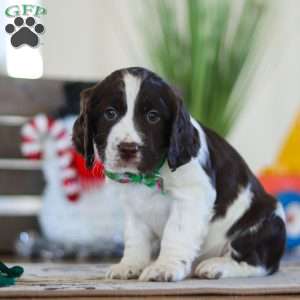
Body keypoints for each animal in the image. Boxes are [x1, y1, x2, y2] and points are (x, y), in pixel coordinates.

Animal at [72, 67, 286, 282]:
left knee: (259, 262)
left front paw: (163, 267)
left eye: (153, 116)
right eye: (110, 113)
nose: (128, 148)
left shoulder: (191, 196)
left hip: (266, 222)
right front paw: (130, 265)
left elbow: (176, 233)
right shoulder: (133, 207)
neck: (147, 176)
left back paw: (218, 266)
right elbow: (135, 238)